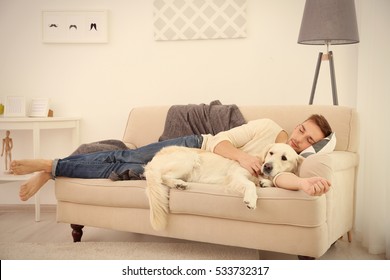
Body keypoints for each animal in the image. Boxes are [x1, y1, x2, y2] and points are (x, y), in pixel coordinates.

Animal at [145, 143, 304, 231]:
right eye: (271, 153)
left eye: (284, 158)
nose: (267, 166)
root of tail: (151, 162)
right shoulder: (236, 174)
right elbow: (250, 184)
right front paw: (251, 199)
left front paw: (265, 182)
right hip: (189, 159)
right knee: (162, 177)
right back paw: (178, 183)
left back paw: (179, 184)